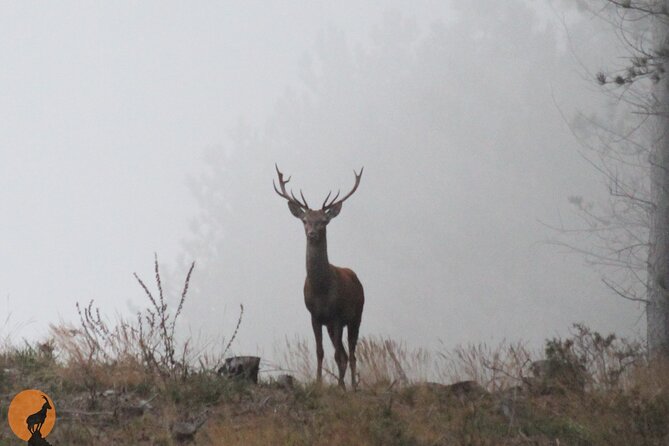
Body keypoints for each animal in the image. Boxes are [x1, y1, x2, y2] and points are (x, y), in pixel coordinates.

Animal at [272, 165, 366, 390]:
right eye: (305, 220)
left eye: (324, 221)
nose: (312, 233)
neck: (322, 290)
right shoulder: (315, 316)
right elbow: (320, 351)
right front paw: (318, 382)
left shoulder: (338, 315)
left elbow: (338, 355)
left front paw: (340, 386)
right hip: (333, 325)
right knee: (343, 353)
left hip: (357, 315)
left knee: (351, 353)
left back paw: (352, 386)